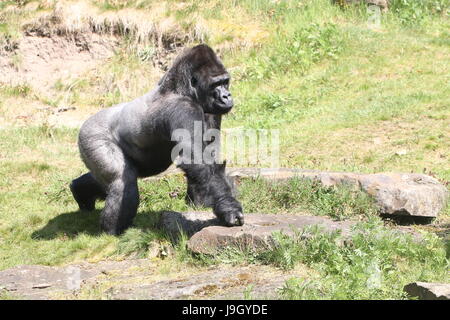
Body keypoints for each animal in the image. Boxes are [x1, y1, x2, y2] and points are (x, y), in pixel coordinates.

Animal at [70, 44, 244, 235]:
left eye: (225, 82)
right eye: (216, 84)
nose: (226, 96)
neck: (180, 88)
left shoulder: (211, 110)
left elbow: (206, 160)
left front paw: (202, 201)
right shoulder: (182, 108)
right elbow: (197, 158)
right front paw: (229, 208)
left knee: (103, 180)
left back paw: (79, 191)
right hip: (91, 136)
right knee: (121, 181)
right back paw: (111, 231)